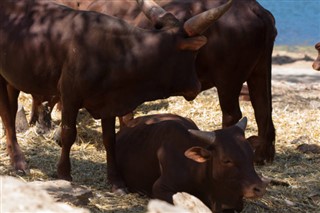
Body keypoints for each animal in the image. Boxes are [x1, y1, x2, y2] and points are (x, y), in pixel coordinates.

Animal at [0, 0, 231, 191]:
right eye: (193, 54)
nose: (196, 86)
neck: (120, 52)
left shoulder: (109, 102)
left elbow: (109, 139)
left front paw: (116, 181)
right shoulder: (70, 95)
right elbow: (68, 134)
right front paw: (64, 174)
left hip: (12, 79)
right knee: (8, 117)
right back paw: (19, 162)